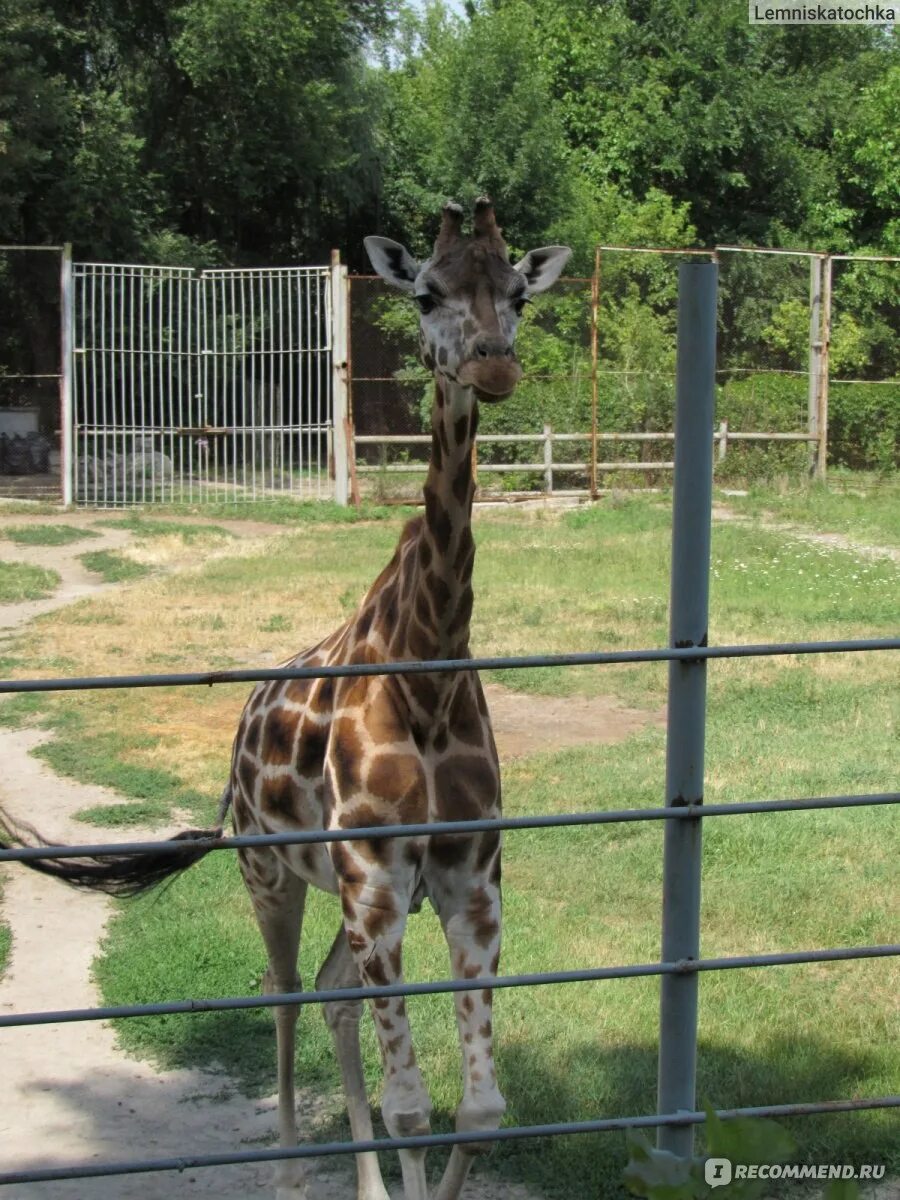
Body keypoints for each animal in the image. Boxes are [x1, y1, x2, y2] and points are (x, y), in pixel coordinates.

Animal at [0, 199, 571, 1200]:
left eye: (518, 295)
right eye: (425, 293)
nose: (493, 364)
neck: (426, 660)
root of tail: (233, 746)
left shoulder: (467, 880)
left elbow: (481, 1110)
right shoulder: (376, 878)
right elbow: (412, 1107)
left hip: (342, 892)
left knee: (333, 999)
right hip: (270, 876)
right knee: (285, 992)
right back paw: (292, 1170)